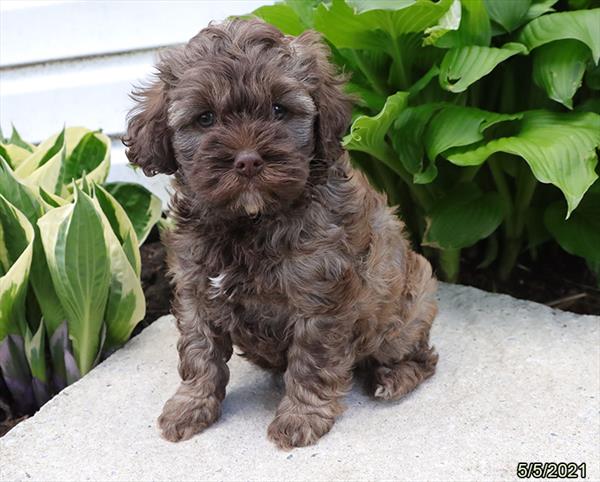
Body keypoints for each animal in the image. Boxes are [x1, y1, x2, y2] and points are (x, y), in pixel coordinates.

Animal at [124, 17, 438, 450]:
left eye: (278, 109)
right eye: (205, 118)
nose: (247, 161)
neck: (251, 221)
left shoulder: (319, 299)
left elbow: (311, 361)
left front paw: (301, 416)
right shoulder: (195, 288)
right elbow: (199, 352)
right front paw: (190, 406)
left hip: (408, 305)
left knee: (419, 355)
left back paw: (394, 377)